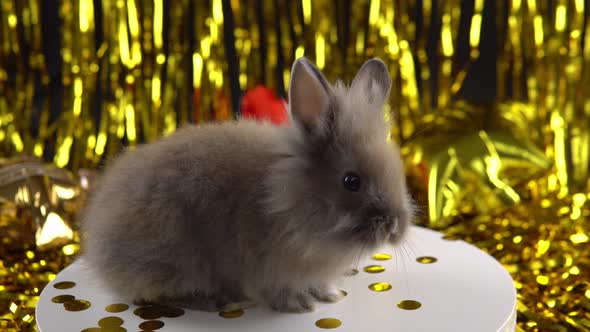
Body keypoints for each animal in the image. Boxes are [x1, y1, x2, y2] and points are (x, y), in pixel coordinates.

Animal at [81, 57, 416, 314]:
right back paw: (215, 301)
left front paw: (328, 293)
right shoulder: (269, 269)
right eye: (351, 181)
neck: (284, 200)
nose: (395, 228)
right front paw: (302, 304)